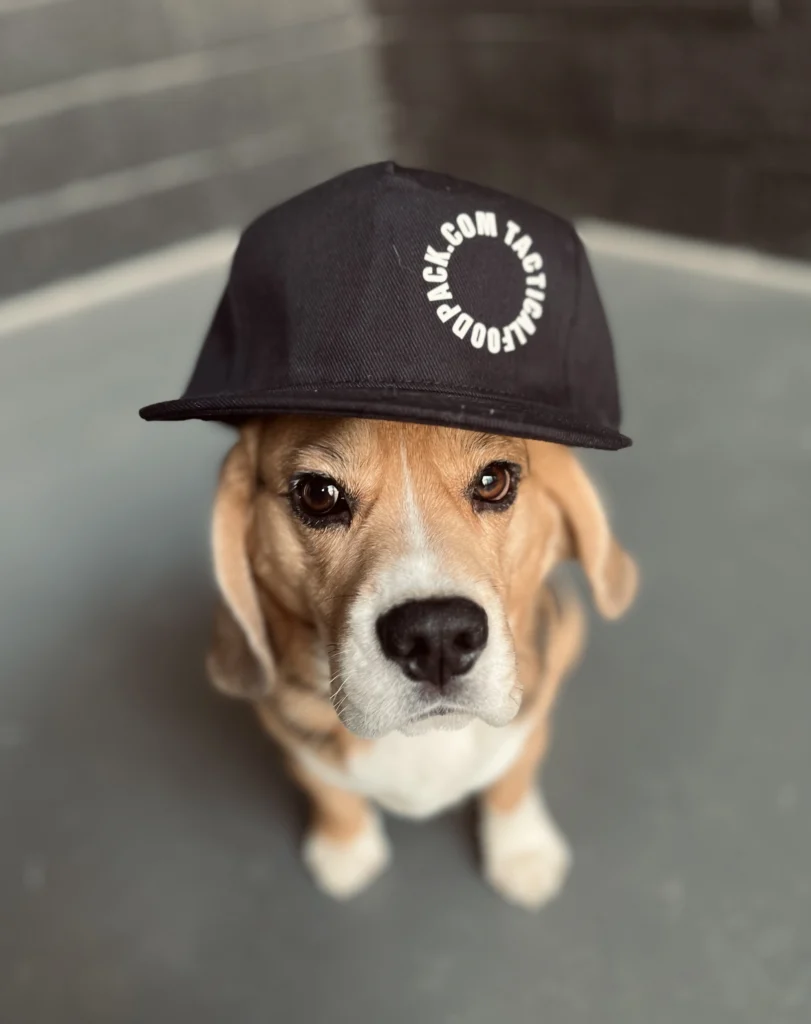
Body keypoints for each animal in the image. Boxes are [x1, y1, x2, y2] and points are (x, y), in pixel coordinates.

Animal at [206, 414, 637, 908]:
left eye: (493, 481)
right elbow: (331, 793)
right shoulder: (297, 747)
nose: (437, 636)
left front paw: (521, 850)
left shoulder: (529, 728)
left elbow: (512, 780)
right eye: (318, 493)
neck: (425, 737)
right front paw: (345, 846)